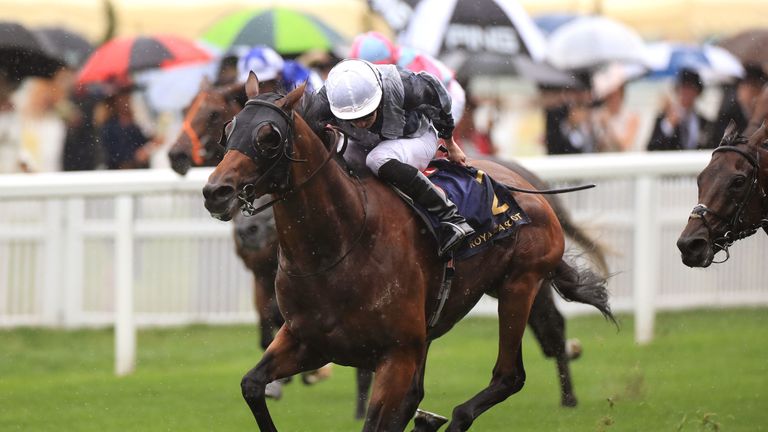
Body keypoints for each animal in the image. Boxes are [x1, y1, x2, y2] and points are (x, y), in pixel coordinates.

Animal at [202, 72, 612, 430]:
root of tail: (531, 189)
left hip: (520, 285)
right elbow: (252, 385)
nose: (215, 191)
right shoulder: (307, 341)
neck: (337, 249)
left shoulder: (396, 355)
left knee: (510, 374)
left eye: (268, 136)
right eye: (229, 129)